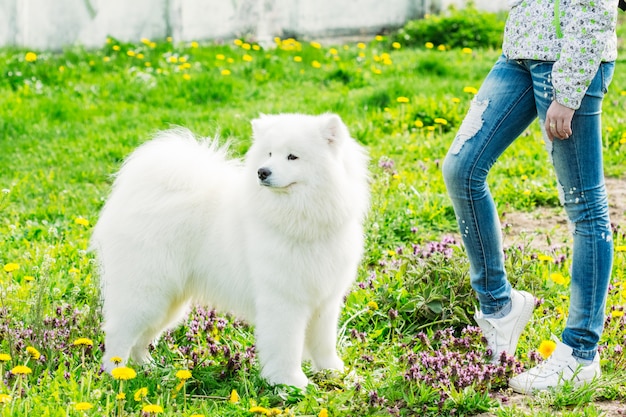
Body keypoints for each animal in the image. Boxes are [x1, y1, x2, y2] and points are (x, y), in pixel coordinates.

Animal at [90, 113, 368, 386]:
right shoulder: (282, 301)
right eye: (269, 154)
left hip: (169, 301)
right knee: (119, 332)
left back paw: (148, 369)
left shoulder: (325, 300)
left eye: (292, 156)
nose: (262, 172)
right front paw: (289, 382)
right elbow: (285, 346)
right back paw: (116, 374)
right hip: (146, 292)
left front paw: (336, 372)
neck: (300, 220)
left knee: (142, 338)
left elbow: (324, 343)